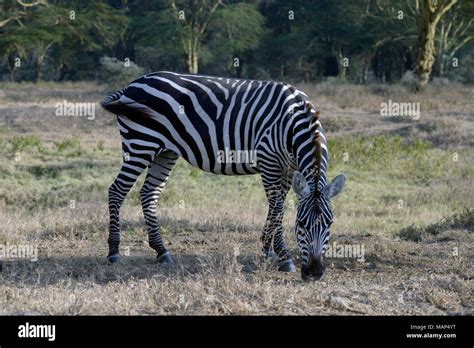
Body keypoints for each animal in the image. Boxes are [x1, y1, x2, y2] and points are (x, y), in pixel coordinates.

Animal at [101, 70, 344, 280]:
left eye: (330, 223)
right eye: (301, 224)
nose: (314, 272)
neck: (293, 123)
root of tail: (132, 84)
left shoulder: (289, 168)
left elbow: (279, 208)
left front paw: (274, 252)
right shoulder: (269, 161)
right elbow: (276, 208)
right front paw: (274, 254)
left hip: (165, 152)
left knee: (149, 194)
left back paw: (161, 251)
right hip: (140, 144)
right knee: (117, 191)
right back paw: (114, 252)